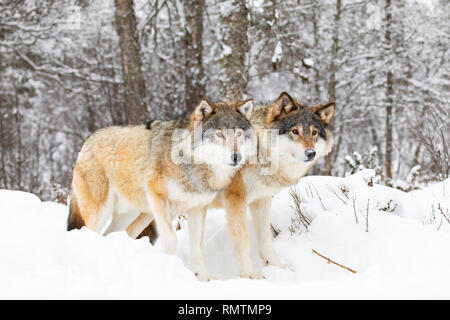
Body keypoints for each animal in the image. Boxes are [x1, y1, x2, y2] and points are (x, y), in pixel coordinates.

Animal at [68, 98, 255, 280]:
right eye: (219, 134)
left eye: (239, 134)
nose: (236, 157)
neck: (193, 166)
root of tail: (87, 141)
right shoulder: (158, 197)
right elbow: (171, 238)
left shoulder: (198, 208)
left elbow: (197, 247)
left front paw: (204, 278)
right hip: (101, 213)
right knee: (88, 233)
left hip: (136, 215)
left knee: (118, 233)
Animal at [207, 92, 334, 278]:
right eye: (294, 131)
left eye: (314, 133)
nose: (311, 153)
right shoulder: (235, 200)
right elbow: (243, 240)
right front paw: (249, 275)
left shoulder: (262, 200)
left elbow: (266, 239)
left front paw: (277, 267)